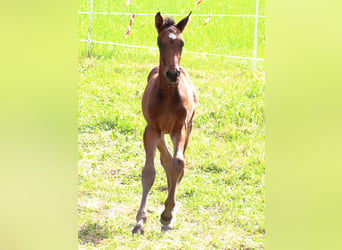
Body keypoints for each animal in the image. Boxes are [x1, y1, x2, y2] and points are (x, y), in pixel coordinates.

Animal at [133, 11, 198, 234]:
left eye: (182, 43)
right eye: (159, 42)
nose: (172, 73)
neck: (169, 95)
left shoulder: (181, 128)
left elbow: (178, 163)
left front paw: (168, 214)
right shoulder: (151, 129)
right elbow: (149, 171)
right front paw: (140, 221)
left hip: (187, 128)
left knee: (174, 161)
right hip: (159, 132)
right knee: (165, 158)